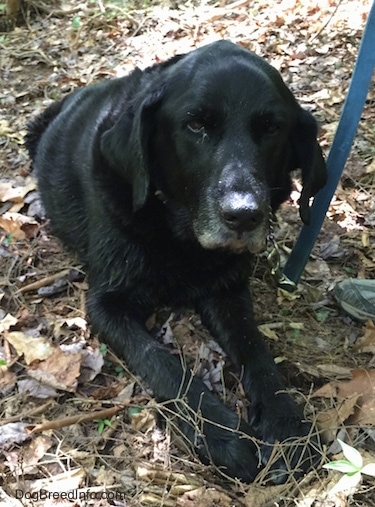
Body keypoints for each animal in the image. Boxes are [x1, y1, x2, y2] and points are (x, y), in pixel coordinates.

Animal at [25, 40, 326, 484]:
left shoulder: (228, 290)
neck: (181, 240)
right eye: (196, 125)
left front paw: (287, 421)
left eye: (272, 128)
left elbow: (256, 349)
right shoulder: (106, 303)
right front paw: (222, 435)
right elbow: (163, 363)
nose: (244, 215)